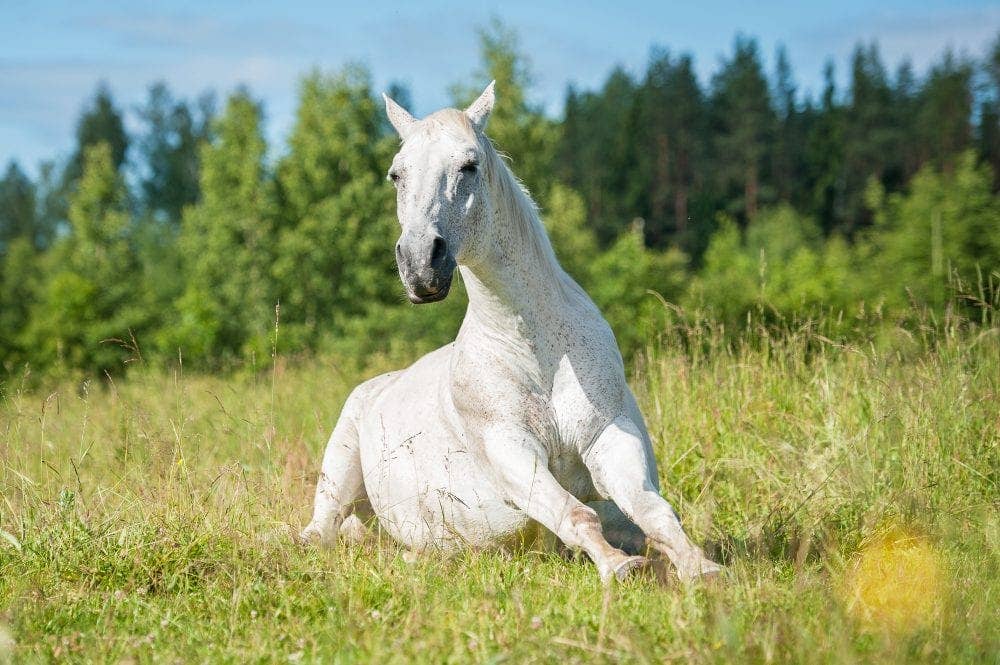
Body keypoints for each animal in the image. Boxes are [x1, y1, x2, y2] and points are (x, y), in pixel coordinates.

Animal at [300, 81, 722, 583]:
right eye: (396, 175)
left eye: (469, 165)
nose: (420, 265)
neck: (538, 351)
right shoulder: (511, 453)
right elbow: (575, 514)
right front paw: (619, 567)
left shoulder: (609, 438)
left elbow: (653, 511)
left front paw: (701, 568)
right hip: (338, 476)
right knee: (320, 534)